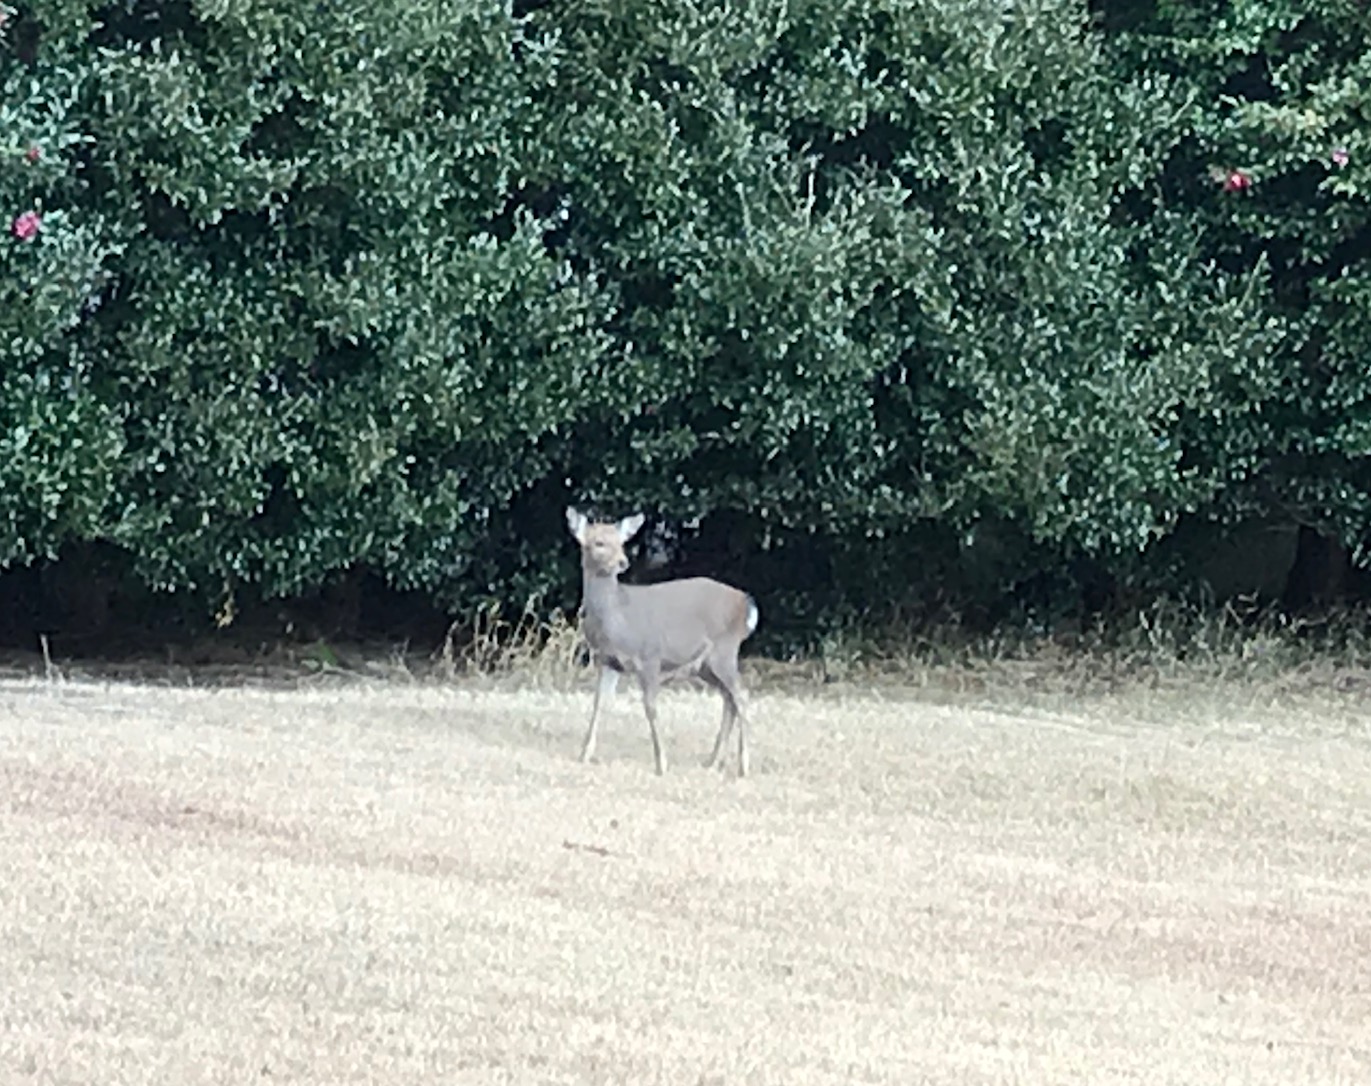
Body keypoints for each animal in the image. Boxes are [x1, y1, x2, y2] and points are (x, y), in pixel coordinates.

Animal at [564, 504, 762, 778]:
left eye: (622, 543)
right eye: (599, 542)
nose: (622, 562)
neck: (617, 620)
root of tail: (746, 603)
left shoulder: (650, 656)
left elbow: (650, 707)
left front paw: (662, 764)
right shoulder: (607, 660)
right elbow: (599, 704)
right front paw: (584, 755)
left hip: (725, 650)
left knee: (741, 696)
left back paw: (743, 766)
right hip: (704, 665)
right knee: (729, 699)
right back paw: (712, 762)